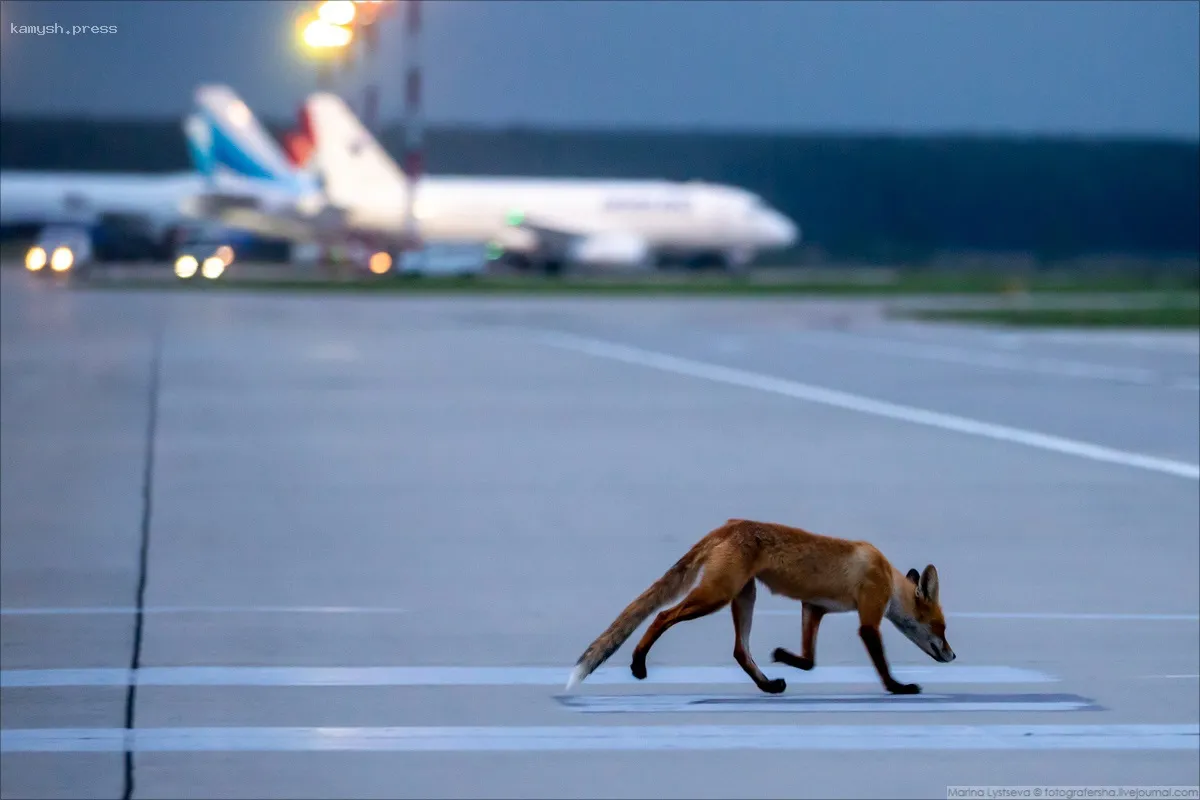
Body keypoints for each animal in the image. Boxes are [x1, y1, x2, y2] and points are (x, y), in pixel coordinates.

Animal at [564, 520, 955, 695]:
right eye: (941, 627)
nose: (953, 656)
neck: (885, 572)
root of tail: (727, 525)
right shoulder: (868, 621)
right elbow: (880, 664)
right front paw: (897, 687)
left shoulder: (813, 607)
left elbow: (809, 661)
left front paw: (783, 656)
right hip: (715, 596)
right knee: (661, 615)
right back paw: (638, 663)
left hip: (744, 597)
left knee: (739, 650)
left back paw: (767, 685)